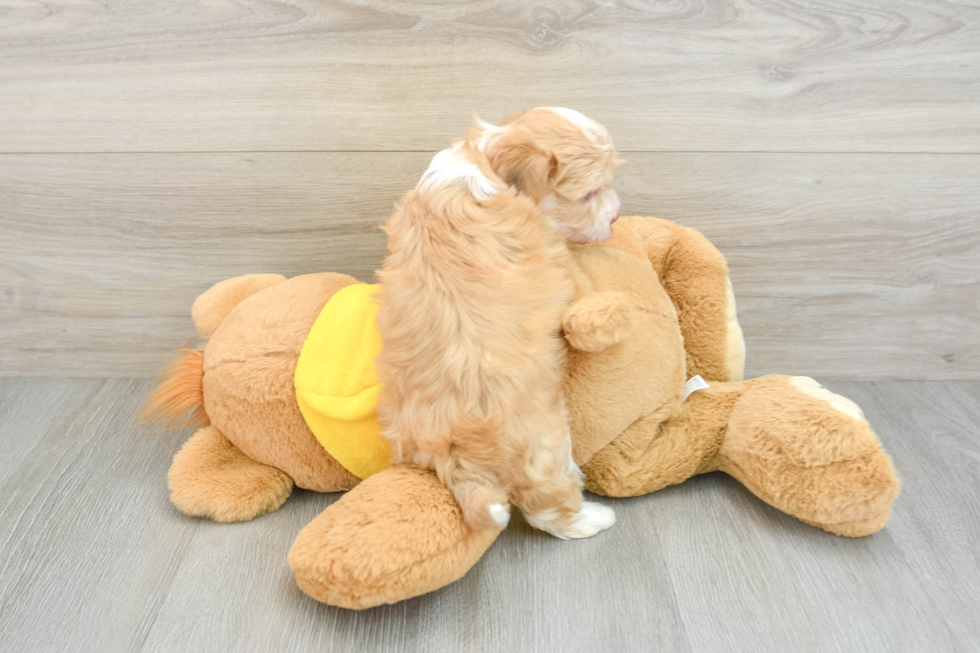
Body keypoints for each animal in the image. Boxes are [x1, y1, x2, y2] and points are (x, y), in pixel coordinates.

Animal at [376, 105, 620, 536]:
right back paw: (593, 518)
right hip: (547, 443)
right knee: (547, 509)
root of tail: (454, 451)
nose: (617, 217)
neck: (486, 158)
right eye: (588, 194)